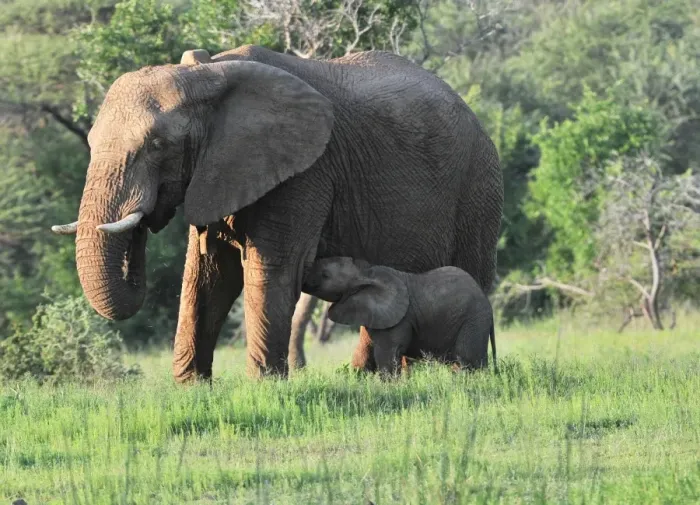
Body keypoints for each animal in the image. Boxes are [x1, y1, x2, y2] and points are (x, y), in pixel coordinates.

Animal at [303, 256, 497, 375]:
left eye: (325, 275)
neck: (364, 273)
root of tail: (487, 301)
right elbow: (363, 352)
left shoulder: (398, 319)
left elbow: (387, 354)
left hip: (473, 320)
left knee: (467, 360)